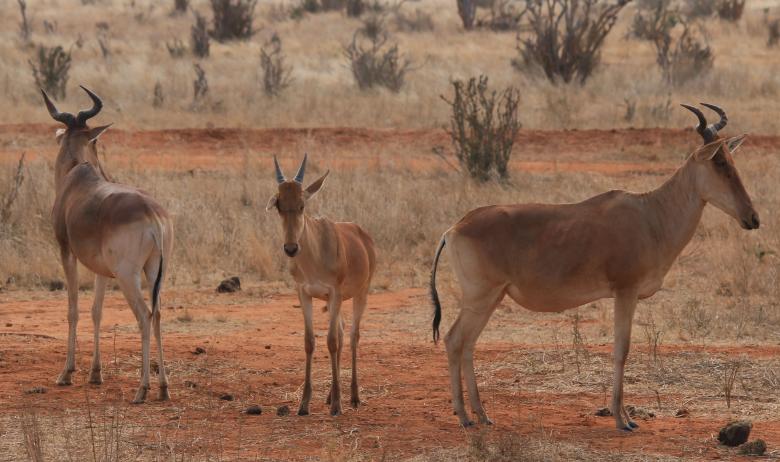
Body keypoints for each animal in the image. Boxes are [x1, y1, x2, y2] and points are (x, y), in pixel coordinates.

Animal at [42, 86, 174, 404]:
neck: (78, 175)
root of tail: (152, 214)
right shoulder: (101, 269)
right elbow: (97, 312)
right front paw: (95, 373)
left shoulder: (67, 252)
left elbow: (73, 308)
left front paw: (66, 373)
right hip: (157, 272)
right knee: (158, 314)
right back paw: (163, 388)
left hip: (127, 276)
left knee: (144, 315)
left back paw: (142, 389)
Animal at [266, 154, 376, 416]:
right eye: (279, 205)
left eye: (302, 204)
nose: (291, 248)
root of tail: (362, 234)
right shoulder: (304, 294)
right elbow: (310, 341)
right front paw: (304, 404)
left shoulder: (334, 293)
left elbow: (332, 342)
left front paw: (337, 406)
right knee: (343, 333)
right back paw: (330, 396)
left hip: (361, 294)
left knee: (353, 336)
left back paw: (353, 397)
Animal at [430, 104, 760, 430]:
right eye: (719, 163)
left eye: (732, 160)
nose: (753, 218)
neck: (650, 214)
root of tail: (453, 228)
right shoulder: (625, 292)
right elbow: (621, 350)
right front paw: (622, 420)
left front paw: (626, 416)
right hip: (480, 297)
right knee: (454, 340)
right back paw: (464, 417)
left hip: (492, 298)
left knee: (468, 344)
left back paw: (482, 415)